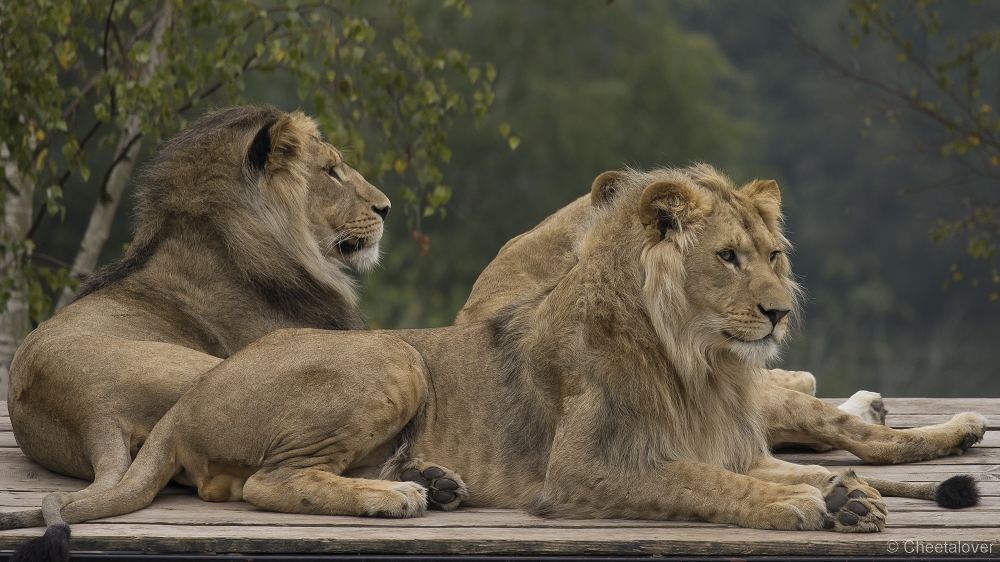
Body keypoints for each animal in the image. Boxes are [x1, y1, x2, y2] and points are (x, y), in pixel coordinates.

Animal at [9, 163, 984, 552]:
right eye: (728, 258)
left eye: (775, 255)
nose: (778, 310)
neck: (705, 360)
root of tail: (189, 397)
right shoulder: (585, 472)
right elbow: (708, 482)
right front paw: (803, 507)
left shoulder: (735, 441)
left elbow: (780, 465)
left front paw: (842, 497)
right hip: (391, 361)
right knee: (260, 484)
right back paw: (395, 498)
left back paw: (432, 482)